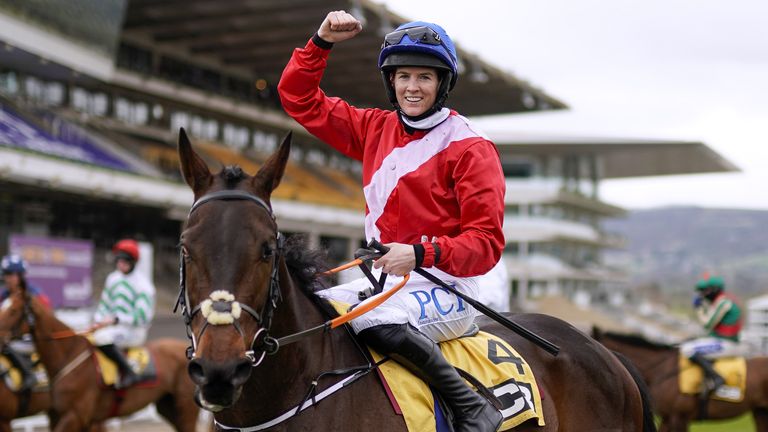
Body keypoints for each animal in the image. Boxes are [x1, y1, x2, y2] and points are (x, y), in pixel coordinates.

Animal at [0, 286, 201, 432]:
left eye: (14, 310)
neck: (68, 356)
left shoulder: (75, 415)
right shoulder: (61, 415)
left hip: (186, 408)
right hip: (168, 407)